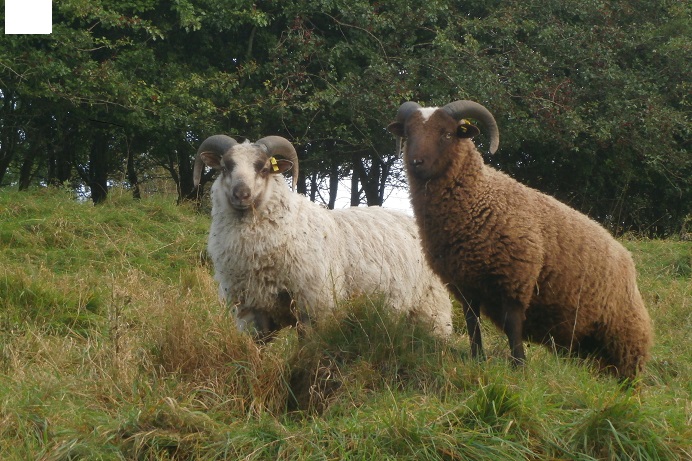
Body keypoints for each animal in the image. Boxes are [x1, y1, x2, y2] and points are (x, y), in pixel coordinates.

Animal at [195, 135, 454, 336]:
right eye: (225, 167)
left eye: (264, 168)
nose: (241, 194)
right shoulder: (251, 312)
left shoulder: (314, 306)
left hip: (431, 307)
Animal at [390, 99, 656, 378]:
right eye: (408, 134)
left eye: (447, 134)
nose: (416, 162)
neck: (479, 198)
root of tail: (626, 256)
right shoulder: (465, 283)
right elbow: (473, 322)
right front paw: (477, 359)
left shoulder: (515, 277)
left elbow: (513, 325)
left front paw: (518, 366)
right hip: (588, 342)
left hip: (626, 334)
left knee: (630, 372)